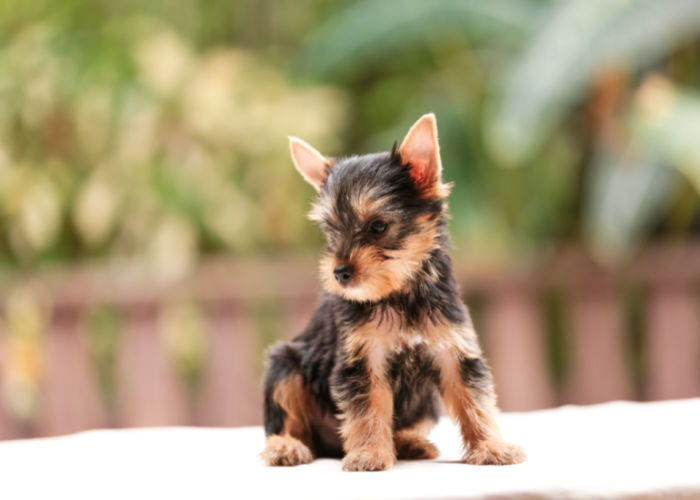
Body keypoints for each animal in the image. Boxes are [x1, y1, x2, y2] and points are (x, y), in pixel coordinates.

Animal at [262, 114, 524, 472]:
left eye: (378, 226)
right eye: (331, 231)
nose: (339, 272)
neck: (400, 293)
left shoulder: (453, 349)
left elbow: (474, 400)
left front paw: (490, 446)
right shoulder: (363, 359)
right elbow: (368, 408)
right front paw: (369, 453)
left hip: (426, 403)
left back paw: (408, 442)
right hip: (286, 365)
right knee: (289, 413)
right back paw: (287, 446)